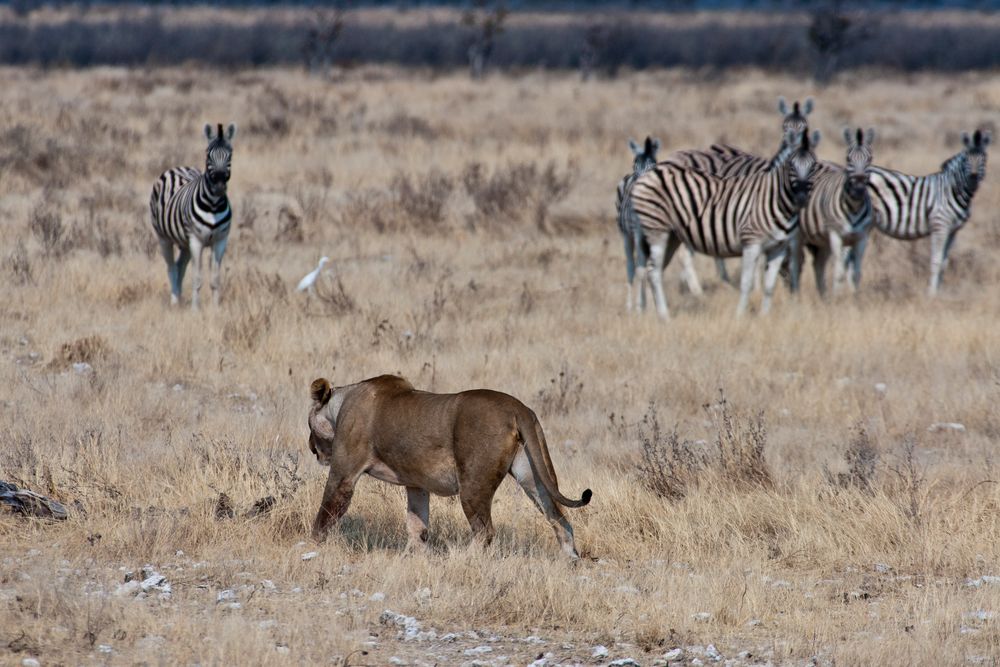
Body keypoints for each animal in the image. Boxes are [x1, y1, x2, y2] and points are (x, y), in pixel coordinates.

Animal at [149, 124, 237, 310]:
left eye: (230, 154)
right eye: (208, 154)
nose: (219, 186)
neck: (213, 205)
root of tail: (178, 167)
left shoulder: (220, 241)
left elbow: (215, 279)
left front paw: (215, 309)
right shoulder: (196, 241)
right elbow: (197, 278)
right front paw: (195, 310)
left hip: (185, 243)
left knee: (180, 266)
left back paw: (180, 298)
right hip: (163, 238)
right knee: (171, 268)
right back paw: (175, 301)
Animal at [616, 140, 704, 312]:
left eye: (653, 166)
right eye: (634, 166)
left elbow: (653, 267)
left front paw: (649, 305)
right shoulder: (638, 235)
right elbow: (642, 268)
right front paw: (641, 307)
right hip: (626, 236)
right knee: (631, 267)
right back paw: (629, 306)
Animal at [632, 129, 820, 320]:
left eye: (814, 166)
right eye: (791, 166)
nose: (801, 198)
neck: (776, 200)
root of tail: (649, 172)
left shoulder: (778, 247)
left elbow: (769, 286)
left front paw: (764, 316)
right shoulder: (751, 242)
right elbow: (746, 283)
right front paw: (740, 316)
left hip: (670, 236)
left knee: (649, 269)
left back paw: (649, 312)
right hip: (657, 230)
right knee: (653, 272)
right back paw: (665, 316)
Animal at [788, 129, 876, 296]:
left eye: (870, 159)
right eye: (848, 159)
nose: (858, 190)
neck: (854, 207)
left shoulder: (862, 238)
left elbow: (856, 275)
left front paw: (854, 298)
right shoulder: (836, 236)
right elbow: (840, 272)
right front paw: (838, 298)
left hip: (822, 241)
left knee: (818, 266)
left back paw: (823, 296)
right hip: (799, 236)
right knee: (796, 265)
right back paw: (795, 295)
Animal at [844, 129, 992, 296]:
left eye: (984, 159)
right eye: (966, 159)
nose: (973, 179)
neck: (953, 189)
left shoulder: (953, 231)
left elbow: (944, 263)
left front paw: (938, 293)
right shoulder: (940, 225)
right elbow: (936, 261)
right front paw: (932, 295)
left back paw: (853, 290)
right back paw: (849, 292)